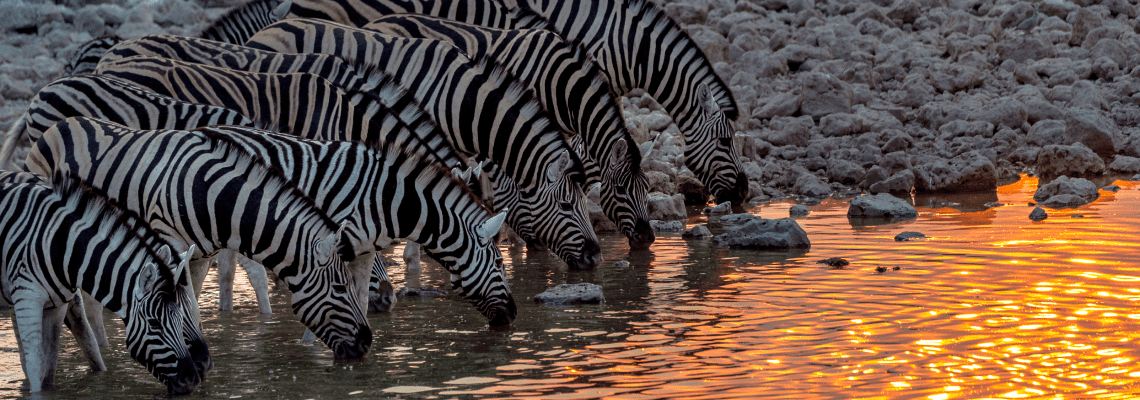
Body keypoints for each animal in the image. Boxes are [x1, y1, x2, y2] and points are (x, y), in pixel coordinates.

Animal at [25, 116, 373, 360]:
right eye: (340, 287)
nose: (367, 343)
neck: (212, 196)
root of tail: (58, 125)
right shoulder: (169, 246)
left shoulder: (200, 257)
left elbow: (191, 308)